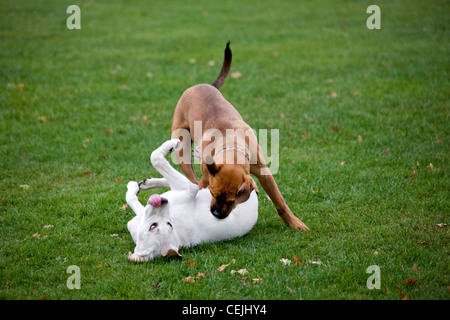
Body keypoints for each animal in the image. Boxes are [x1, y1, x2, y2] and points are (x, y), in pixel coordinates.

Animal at [125, 139, 258, 262]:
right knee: (194, 181)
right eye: (153, 226)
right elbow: (155, 158)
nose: (163, 202)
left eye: (169, 224)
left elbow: (155, 158)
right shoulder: (188, 190)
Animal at [171, 42, 308, 230]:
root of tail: (205, 85)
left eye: (231, 200)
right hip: (182, 150)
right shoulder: (206, 179)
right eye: (212, 194)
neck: (231, 145)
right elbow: (199, 186)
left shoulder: (265, 173)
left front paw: (294, 222)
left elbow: (279, 201)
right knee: (192, 178)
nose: (216, 215)